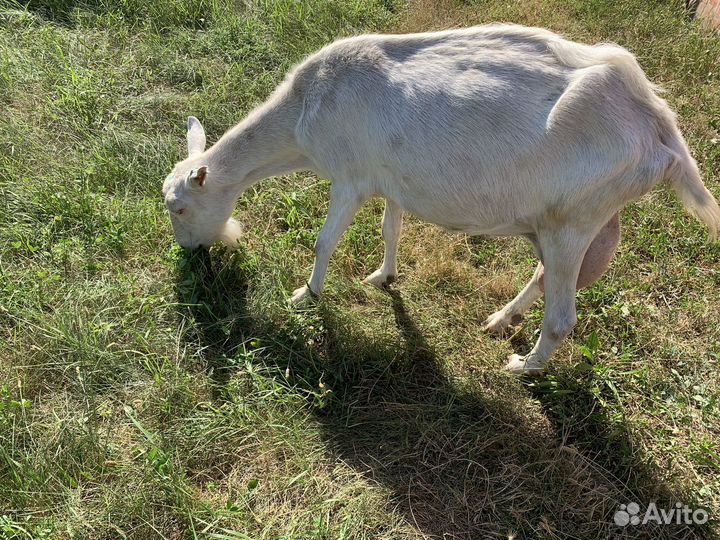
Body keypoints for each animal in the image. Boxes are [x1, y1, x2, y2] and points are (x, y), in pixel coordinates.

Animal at [162, 24, 720, 374]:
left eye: (181, 208)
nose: (190, 251)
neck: (305, 110)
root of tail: (660, 130)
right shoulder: (391, 179)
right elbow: (390, 229)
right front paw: (382, 277)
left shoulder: (350, 178)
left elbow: (324, 242)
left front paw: (306, 295)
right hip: (571, 220)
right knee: (547, 276)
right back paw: (500, 320)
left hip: (574, 220)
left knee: (563, 318)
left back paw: (523, 367)